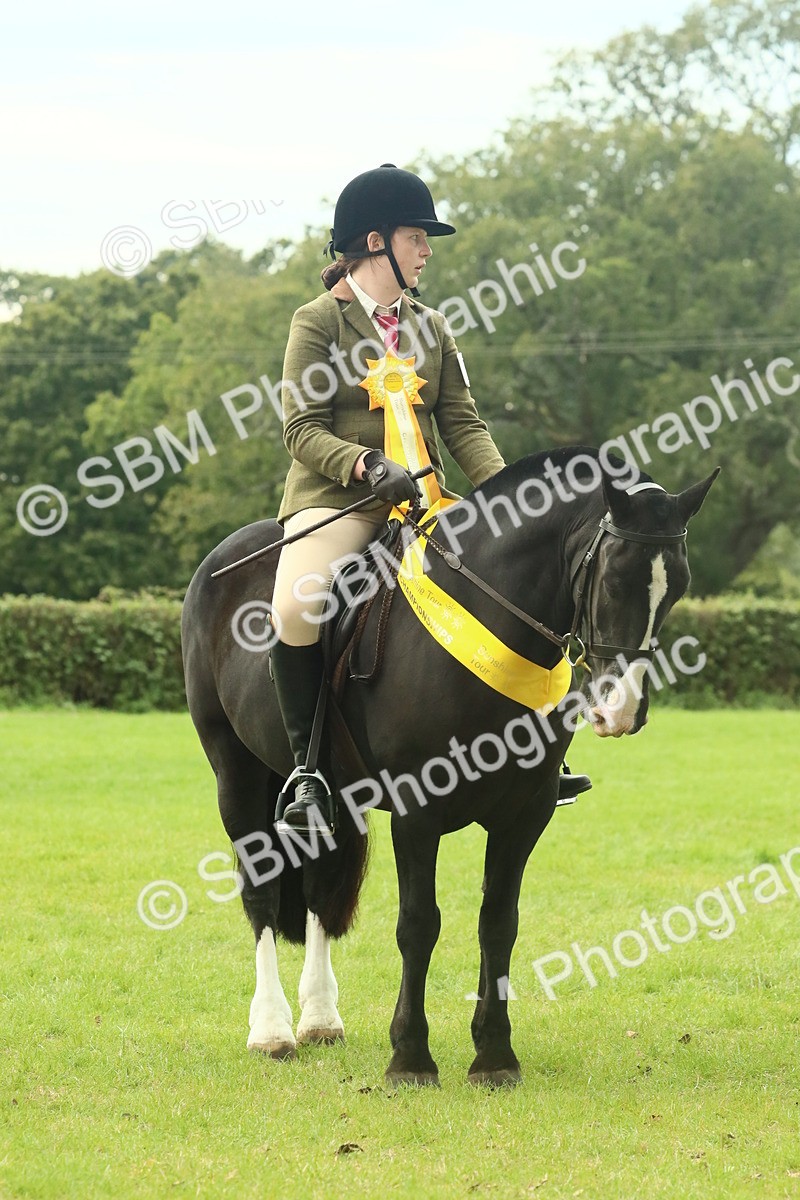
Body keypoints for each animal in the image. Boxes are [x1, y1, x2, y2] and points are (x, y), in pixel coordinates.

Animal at [181, 446, 718, 1086]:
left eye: (679, 586)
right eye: (614, 579)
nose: (622, 710)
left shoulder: (526, 812)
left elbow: (499, 922)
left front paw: (494, 1056)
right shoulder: (417, 811)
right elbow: (419, 923)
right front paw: (410, 1059)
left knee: (318, 888)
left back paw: (320, 1019)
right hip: (234, 774)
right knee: (261, 891)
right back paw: (271, 1031)